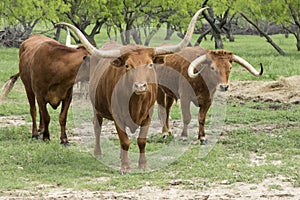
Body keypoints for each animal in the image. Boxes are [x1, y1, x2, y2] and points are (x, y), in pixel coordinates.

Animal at [58, 7, 209, 173]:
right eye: (127, 66)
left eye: (150, 64)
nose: (140, 86)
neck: (135, 101)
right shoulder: (117, 116)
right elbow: (124, 141)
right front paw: (125, 166)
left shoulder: (148, 116)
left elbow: (141, 140)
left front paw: (142, 165)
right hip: (96, 108)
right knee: (97, 127)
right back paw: (98, 153)